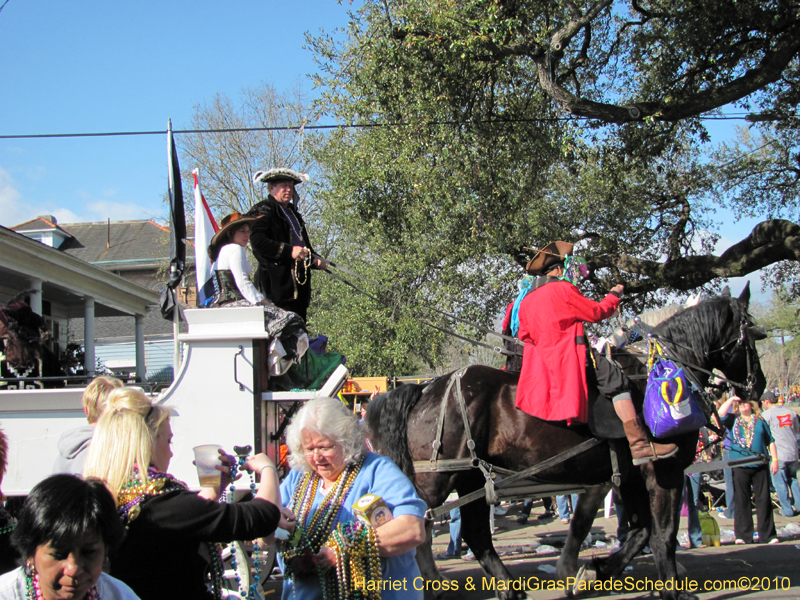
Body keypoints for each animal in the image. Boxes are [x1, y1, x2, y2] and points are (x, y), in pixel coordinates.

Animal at [368, 286, 768, 600]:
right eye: (751, 335)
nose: (758, 385)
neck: (658, 373)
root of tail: (426, 389)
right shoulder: (662, 472)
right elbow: (662, 534)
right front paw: (673, 589)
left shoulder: (629, 477)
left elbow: (639, 532)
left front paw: (596, 570)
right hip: (437, 480)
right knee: (417, 526)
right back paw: (431, 582)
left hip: (470, 479)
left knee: (475, 534)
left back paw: (506, 587)